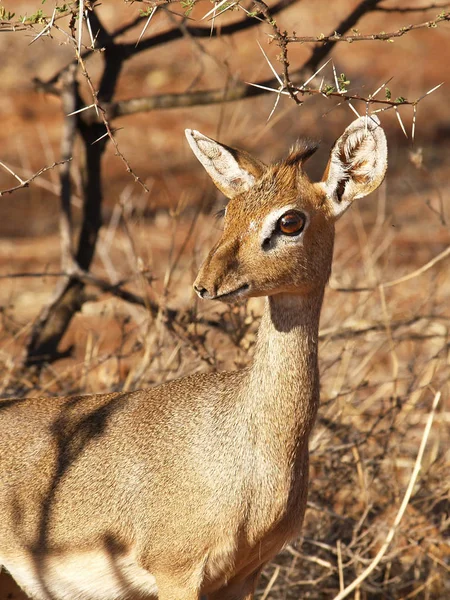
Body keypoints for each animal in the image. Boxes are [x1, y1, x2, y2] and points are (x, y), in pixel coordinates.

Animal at [0, 117, 386, 600]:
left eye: (290, 220)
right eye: (228, 211)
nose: (206, 285)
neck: (253, 445)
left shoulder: (243, 576)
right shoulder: (177, 571)